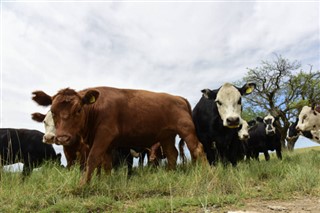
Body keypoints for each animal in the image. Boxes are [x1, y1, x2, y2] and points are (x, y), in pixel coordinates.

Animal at [31, 87, 204, 186]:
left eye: (78, 109)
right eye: (53, 112)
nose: (62, 139)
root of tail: (180, 98)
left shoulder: (104, 135)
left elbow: (92, 159)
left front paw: (83, 185)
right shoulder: (106, 144)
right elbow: (106, 164)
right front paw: (106, 182)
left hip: (186, 129)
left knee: (197, 149)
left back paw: (205, 173)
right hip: (166, 136)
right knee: (172, 154)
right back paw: (169, 174)